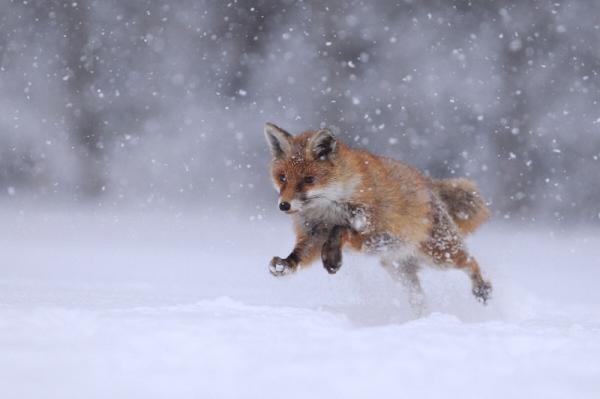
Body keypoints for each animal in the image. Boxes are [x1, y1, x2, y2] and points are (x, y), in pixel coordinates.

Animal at [262, 122, 492, 306]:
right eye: (282, 178)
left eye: (309, 179)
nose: (284, 205)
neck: (328, 209)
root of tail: (428, 184)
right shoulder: (314, 234)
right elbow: (300, 254)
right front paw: (285, 265)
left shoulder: (377, 233)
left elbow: (341, 229)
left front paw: (332, 258)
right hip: (399, 269)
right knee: (419, 297)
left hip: (440, 256)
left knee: (470, 261)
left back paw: (482, 288)